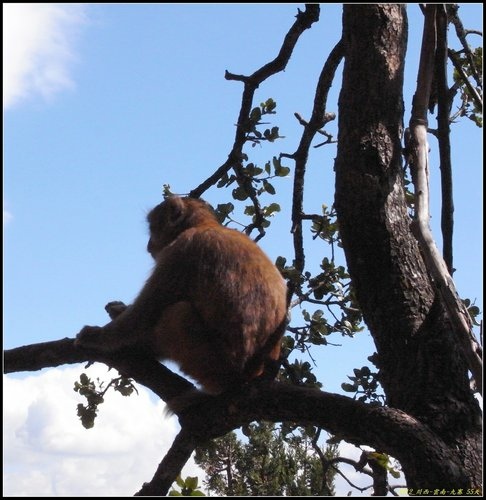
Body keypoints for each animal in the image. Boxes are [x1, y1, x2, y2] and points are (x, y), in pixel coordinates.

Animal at [75, 197, 288, 396]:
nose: (149, 245)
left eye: (153, 228)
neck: (204, 225)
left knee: (178, 313)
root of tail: (249, 377)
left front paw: (96, 336)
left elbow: (143, 314)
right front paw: (117, 310)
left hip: (213, 366)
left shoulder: (182, 250)